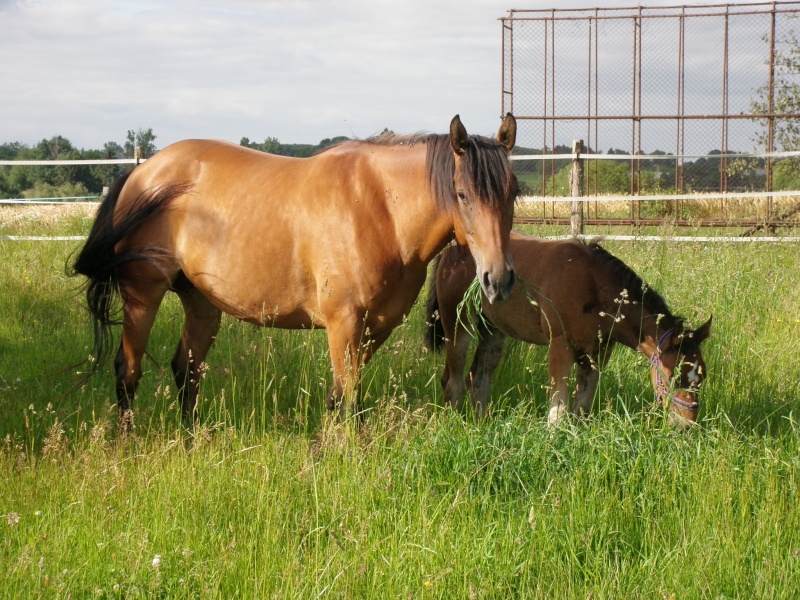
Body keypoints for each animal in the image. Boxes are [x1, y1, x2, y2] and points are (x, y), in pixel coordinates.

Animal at [73, 113, 520, 426]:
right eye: (461, 194)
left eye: (513, 192)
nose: (498, 279)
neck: (380, 208)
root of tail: (141, 172)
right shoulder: (344, 325)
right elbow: (347, 399)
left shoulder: (374, 328)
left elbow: (344, 399)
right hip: (142, 296)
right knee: (127, 372)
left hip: (201, 303)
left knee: (187, 371)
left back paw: (190, 443)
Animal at [424, 231, 712, 426]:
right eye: (673, 376)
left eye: (701, 377)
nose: (686, 424)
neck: (593, 285)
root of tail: (450, 250)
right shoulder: (560, 346)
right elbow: (558, 408)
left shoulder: (598, 353)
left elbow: (582, 404)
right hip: (457, 323)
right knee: (453, 379)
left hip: (493, 330)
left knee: (479, 376)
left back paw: (481, 423)